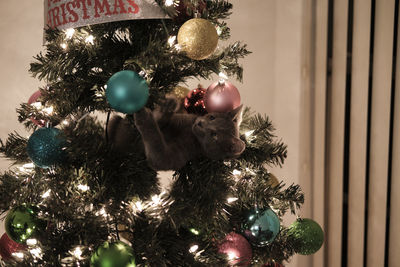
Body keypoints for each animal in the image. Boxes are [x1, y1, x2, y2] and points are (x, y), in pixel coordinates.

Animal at [109, 99, 247, 172]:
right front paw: (167, 108)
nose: (201, 124)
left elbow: (156, 144)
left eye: (214, 135)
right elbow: (160, 120)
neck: (189, 131)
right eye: (212, 117)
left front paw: (144, 115)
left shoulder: (172, 158)